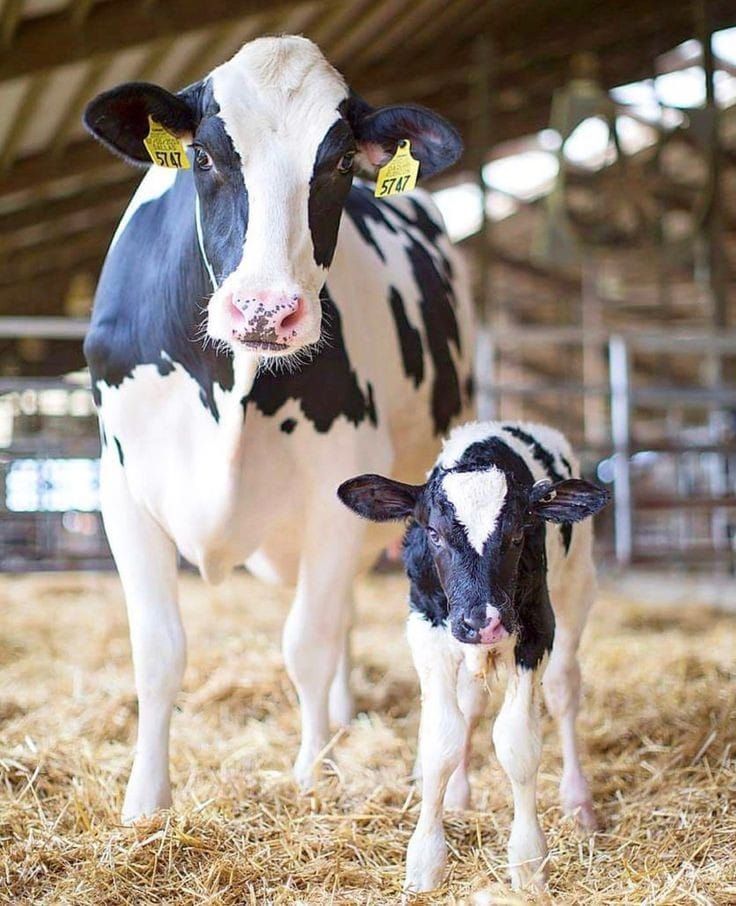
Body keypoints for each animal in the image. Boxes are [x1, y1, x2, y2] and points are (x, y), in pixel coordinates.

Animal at [83, 33, 474, 820]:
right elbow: (159, 651)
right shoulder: (123, 489)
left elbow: (308, 643)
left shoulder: (339, 490)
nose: (265, 309)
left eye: (340, 163)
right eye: (204, 156)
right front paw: (145, 801)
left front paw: (314, 772)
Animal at [338, 420, 608, 888]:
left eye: (517, 534)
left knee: (563, 691)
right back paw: (460, 795)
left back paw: (579, 803)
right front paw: (426, 861)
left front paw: (528, 862)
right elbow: (440, 740)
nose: (483, 621)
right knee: (470, 704)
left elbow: (517, 743)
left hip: (576, 590)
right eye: (434, 534)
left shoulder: (536, 628)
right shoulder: (427, 627)